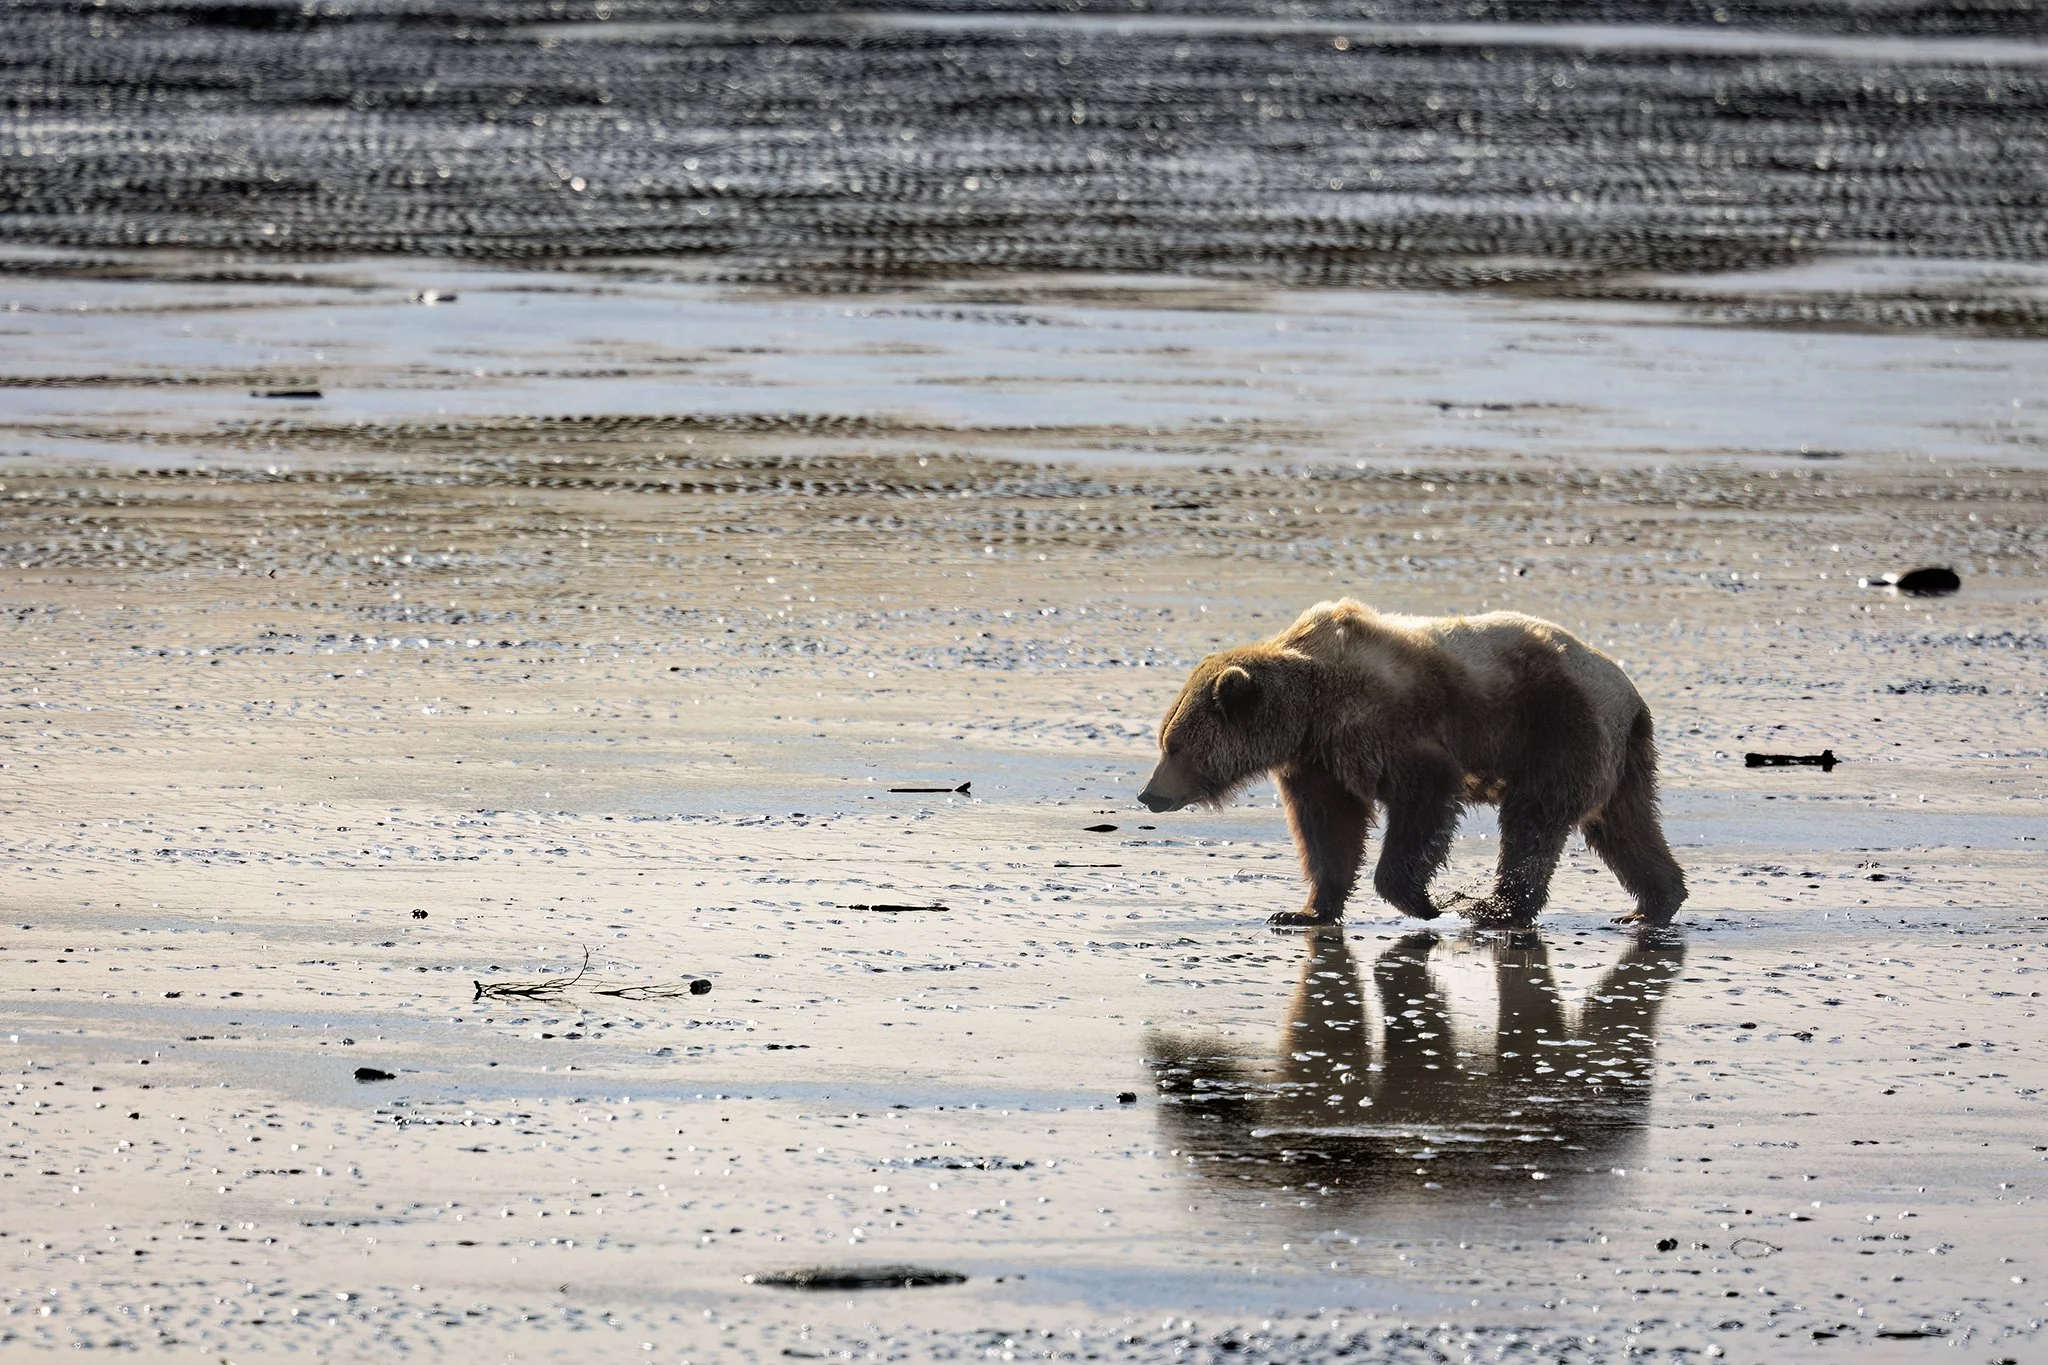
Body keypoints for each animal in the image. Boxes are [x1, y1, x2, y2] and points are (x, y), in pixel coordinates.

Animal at [1137, 599, 1686, 927]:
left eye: (1174, 745)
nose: (1148, 794)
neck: (1312, 710)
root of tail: (1629, 693)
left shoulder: (1386, 725)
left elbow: (1424, 797)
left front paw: (1424, 901)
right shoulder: (1318, 762)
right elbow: (1328, 829)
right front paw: (1304, 912)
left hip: (1556, 726)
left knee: (1535, 820)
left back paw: (1494, 908)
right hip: (1621, 756)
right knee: (1624, 826)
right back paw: (1654, 903)